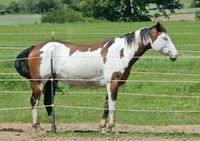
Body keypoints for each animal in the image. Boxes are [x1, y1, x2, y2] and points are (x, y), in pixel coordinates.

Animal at [15, 22, 178, 132]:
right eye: (164, 38)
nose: (175, 55)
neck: (120, 52)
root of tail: (35, 47)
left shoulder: (111, 85)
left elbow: (106, 105)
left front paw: (102, 127)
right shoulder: (113, 84)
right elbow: (112, 105)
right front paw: (111, 127)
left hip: (49, 82)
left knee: (48, 102)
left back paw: (55, 128)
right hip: (39, 82)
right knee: (34, 101)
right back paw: (36, 127)